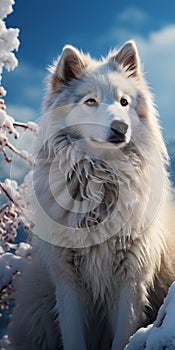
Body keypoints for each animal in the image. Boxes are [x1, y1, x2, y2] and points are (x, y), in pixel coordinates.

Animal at [8, 41, 175, 350]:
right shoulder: (68, 282)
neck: (100, 180)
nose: (121, 127)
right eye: (90, 102)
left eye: (124, 102)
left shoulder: (131, 279)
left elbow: (122, 337)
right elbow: (74, 336)